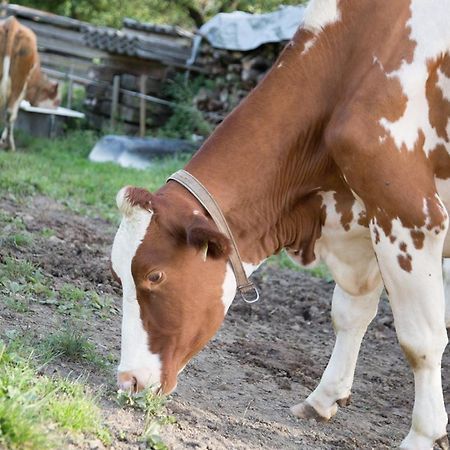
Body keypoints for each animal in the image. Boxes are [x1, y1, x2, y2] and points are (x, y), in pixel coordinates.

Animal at [0, 16, 59, 151]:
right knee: (10, 113)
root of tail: (13, 23)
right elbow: (12, 114)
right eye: (57, 101)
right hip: (18, 85)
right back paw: (11, 145)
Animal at [110, 1, 450, 448]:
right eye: (119, 275)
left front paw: (424, 434)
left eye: (154, 276)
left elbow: (420, 340)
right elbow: (349, 314)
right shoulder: (362, 218)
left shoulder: (409, 214)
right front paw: (323, 398)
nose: (127, 381)